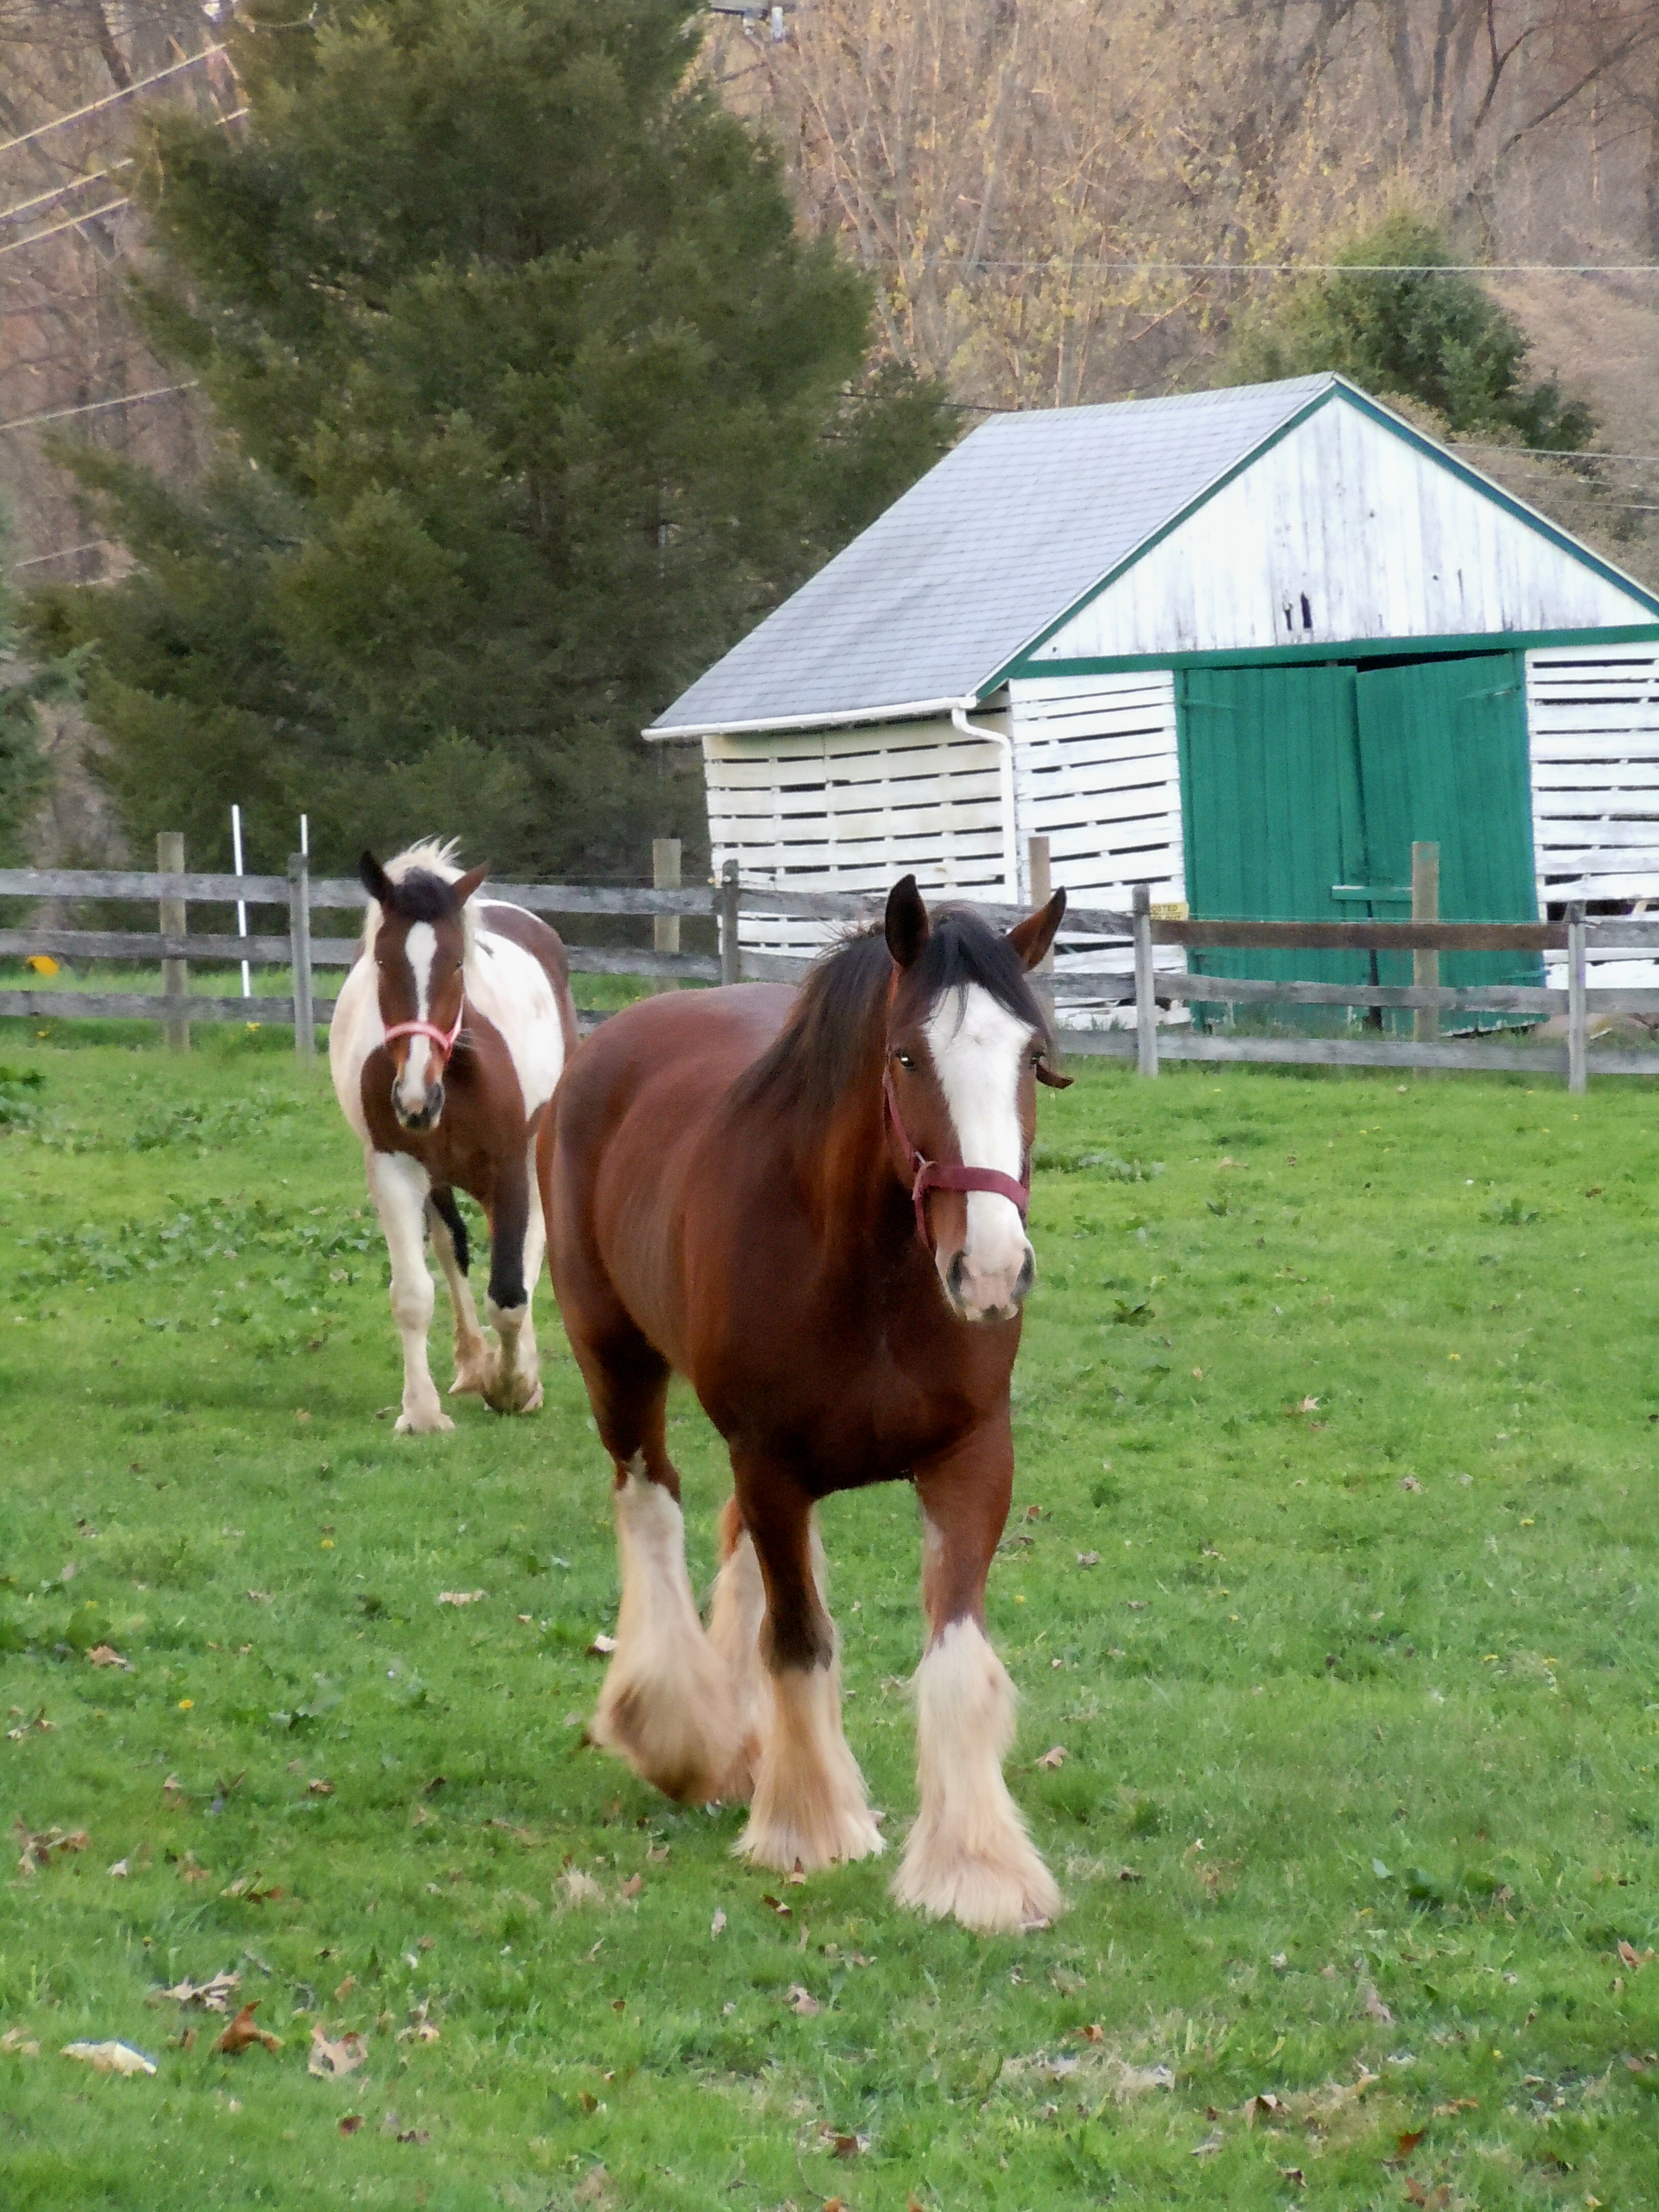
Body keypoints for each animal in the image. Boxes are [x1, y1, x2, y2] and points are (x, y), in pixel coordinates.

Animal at [330, 841, 578, 1434]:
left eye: (458, 962)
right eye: (380, 960)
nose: (415, 1098)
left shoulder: (510, 1166)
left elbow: (510, 1293)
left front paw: (514, 1387)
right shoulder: (396, 1167)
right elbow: (414, 1294)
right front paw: (421, 1412)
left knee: (529, 1249)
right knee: (451, 1248)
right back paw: (470, 1364)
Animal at [542, 874, 1070, 1932]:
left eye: (1032, 1058)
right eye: (907, 1055)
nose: (993, 1271)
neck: (871, 1277)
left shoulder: (971, 1460)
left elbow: (955, 1661)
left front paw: (976, 1869)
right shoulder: (772, 1462)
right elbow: (798, 1641)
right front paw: (813, 1826)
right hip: (615, 1360)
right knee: (649, 1501)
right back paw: (681, 1729)